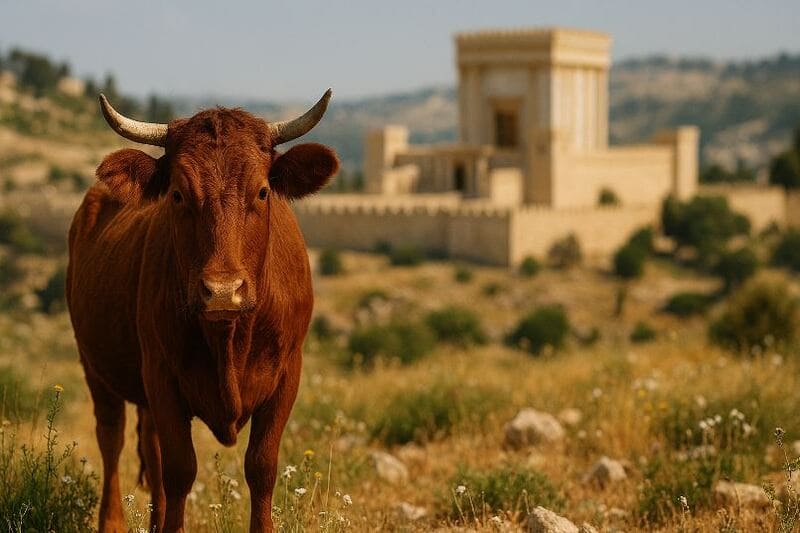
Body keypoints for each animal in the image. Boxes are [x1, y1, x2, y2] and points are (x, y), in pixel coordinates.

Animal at [66, 89, 339, 532]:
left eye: (262, 191)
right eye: (178, 194)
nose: (223, 292)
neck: (229, 338)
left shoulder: (288, 375)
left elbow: (261, 466)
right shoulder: (162, 375)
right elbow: (179, 469)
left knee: (149, 447)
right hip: (94, 364)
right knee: (113, 437)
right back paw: (112, 521)